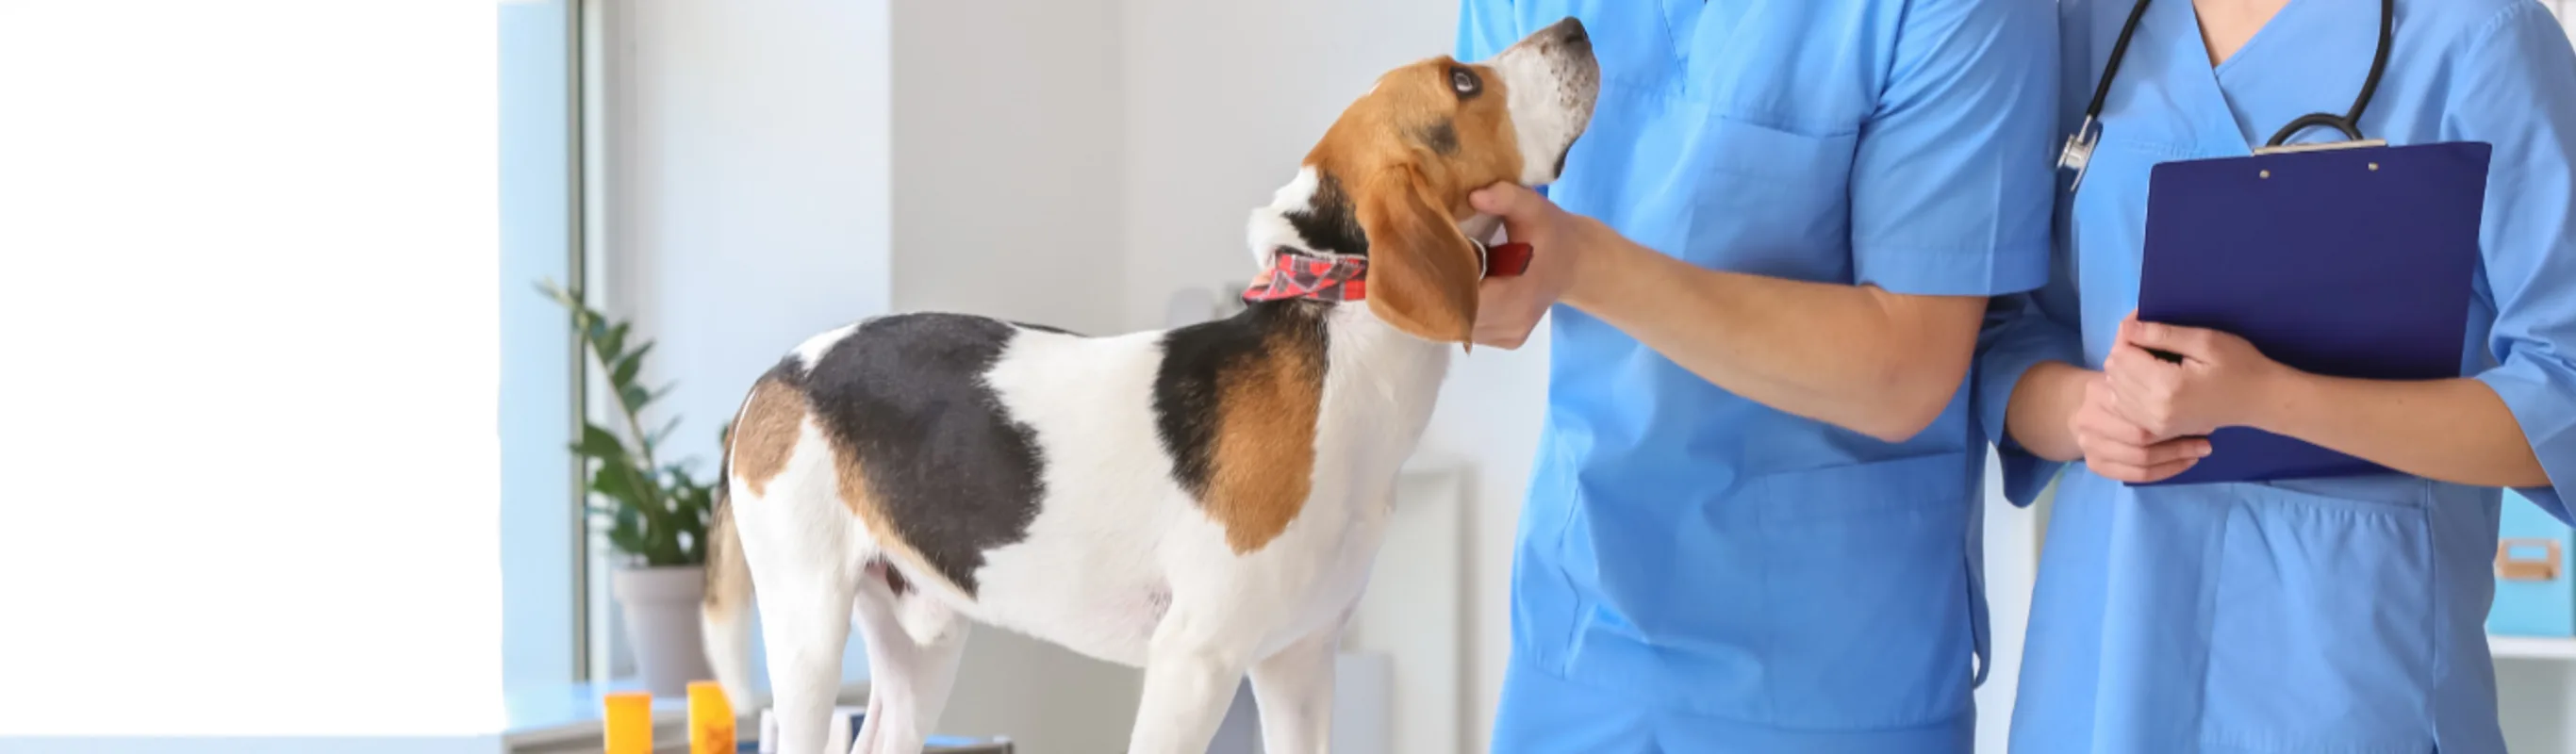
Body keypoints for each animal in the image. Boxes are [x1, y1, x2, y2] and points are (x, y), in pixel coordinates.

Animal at [701, 19, 1586, 751]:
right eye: (1463, 81)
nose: (1576, 26)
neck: (1337, 335)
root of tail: (774, 375)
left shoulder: (1297, 664)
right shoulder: (1196, 665)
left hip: (923, 639)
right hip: (807, 626)